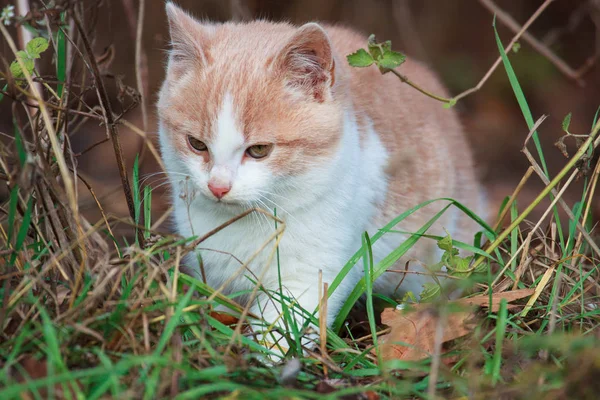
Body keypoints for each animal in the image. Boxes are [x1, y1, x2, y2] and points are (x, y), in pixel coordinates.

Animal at [157, 2, 486, 354]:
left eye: (259, 150)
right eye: (196, 144)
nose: (218, 186)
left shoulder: (311, 274)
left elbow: (281, 328)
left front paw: (266, 358)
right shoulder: (212, 268)